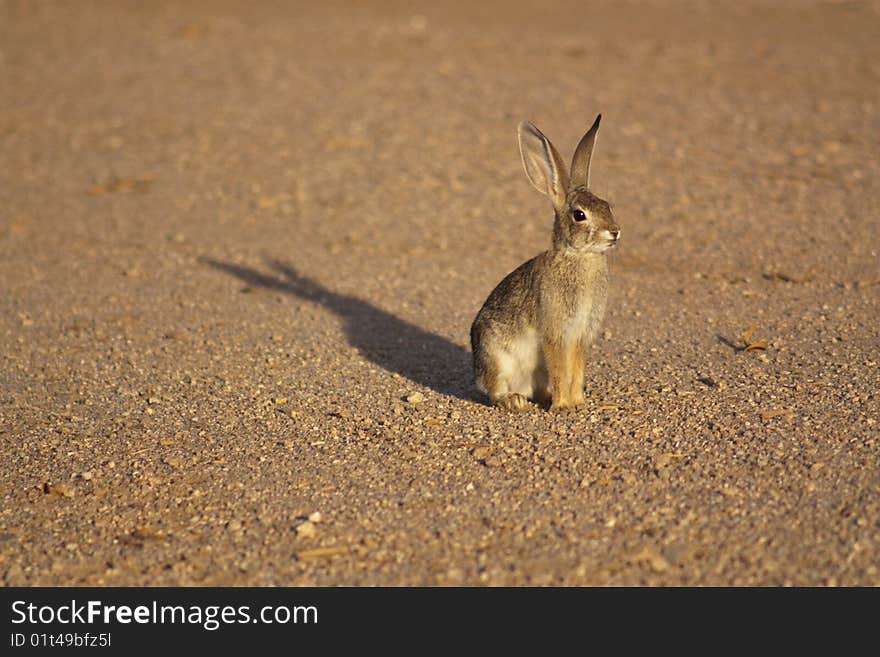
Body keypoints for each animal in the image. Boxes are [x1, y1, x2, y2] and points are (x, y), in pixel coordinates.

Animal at [470, 114, 624, 410]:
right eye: (579, 215)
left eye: (607, 205)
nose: (614, 232)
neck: (579, 255)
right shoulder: (555, 331)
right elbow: (560, 369)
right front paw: (563, 406)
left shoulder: (579, 335)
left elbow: (576, 369)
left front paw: (577, 403)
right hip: (496, 356)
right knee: (494, 389)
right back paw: (514, 400)